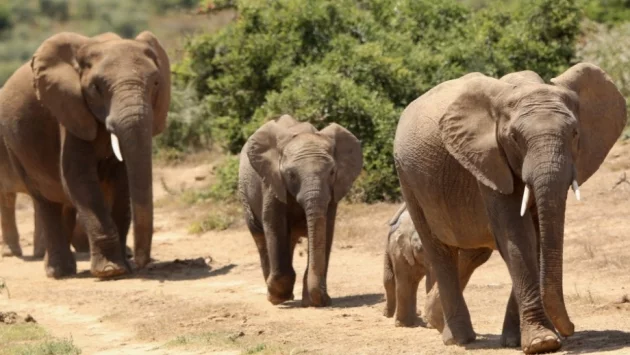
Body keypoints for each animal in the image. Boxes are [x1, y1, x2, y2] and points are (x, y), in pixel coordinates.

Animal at [0, 30, 172, 280]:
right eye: (96, 88)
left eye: (156, 83)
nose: (142, 264)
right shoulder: (70, 110)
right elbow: (78, 178)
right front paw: (111, 271)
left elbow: (122, 182)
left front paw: (124, 267)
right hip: (14, 148)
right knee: (44, 200)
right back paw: (59, 273)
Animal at [238, 115, 366, 308]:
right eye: (291, 175)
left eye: (332, 172)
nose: (324, 300)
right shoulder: (272, 181)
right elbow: (275, 226)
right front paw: (278, 298)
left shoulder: (333, 190)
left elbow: (326, 229)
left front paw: (313, 301)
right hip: (245, 194)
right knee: (260, 237)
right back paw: (273, 295)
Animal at [396, 62, 628, 354]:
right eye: (515, 138)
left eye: (575, 133)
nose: (571, 329)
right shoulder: (487, 158)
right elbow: (517, 235)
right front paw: (542, 342)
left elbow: (536, 238)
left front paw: (521, 340)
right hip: (408, 178)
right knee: (439, 251)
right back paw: (459, 339)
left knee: (472, 253)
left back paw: (438, 321)